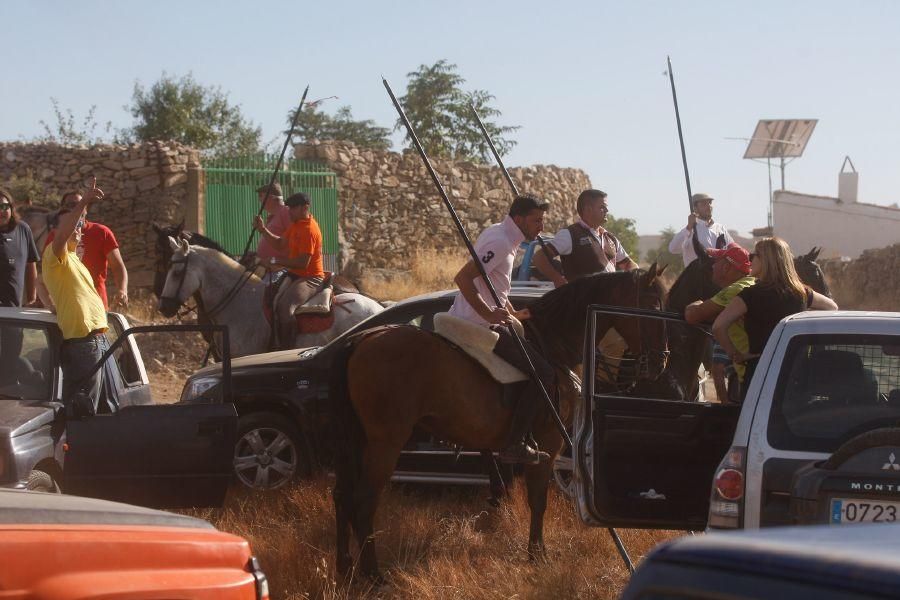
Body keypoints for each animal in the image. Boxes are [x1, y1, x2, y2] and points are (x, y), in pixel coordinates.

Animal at [330, 266, 668, 576]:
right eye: (653, 307)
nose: (661, 363)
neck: (553, 345)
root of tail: (362, 339)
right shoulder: (550, 443)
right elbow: (538, 499)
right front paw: (537, 555)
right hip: (386, 442)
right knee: (364, 500)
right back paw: (374, 575)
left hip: (358, 441)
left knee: (342, 496)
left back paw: (345, 568)